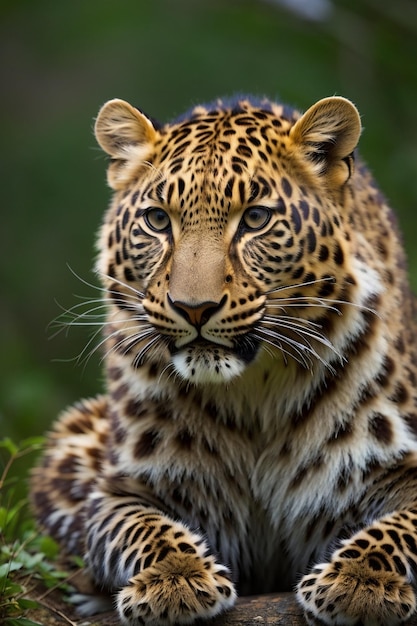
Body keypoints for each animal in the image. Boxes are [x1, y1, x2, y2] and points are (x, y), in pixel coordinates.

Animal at [31, 94, 417, 624]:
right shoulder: (117, 487)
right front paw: (175, 578)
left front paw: (361, 580)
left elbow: (399, 526)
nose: (194, 307)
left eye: (255, 219)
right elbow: (138, 525)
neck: (255, 392)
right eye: (158, 220)